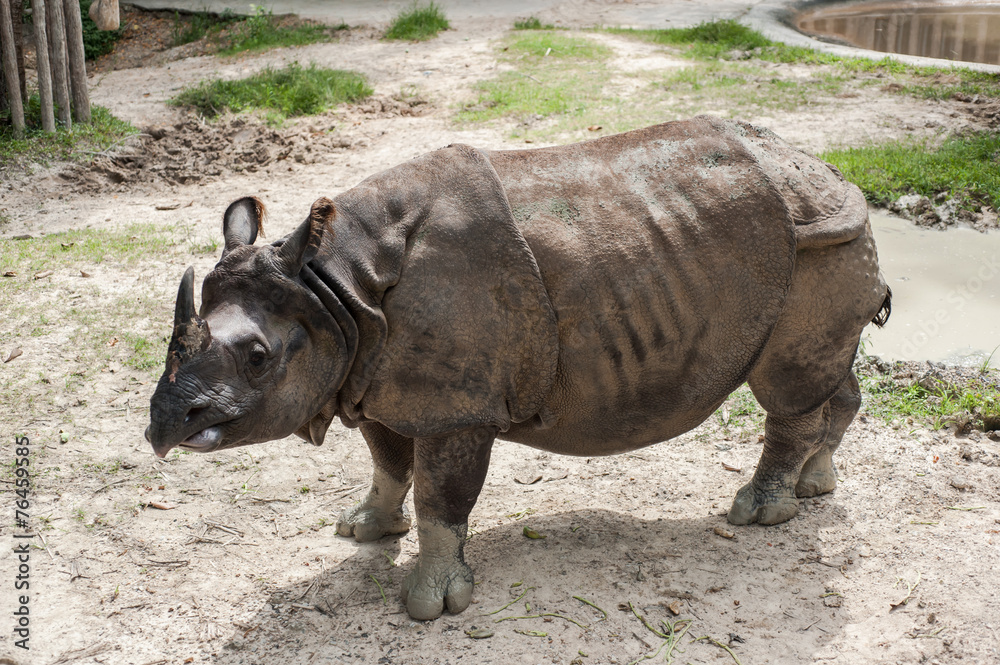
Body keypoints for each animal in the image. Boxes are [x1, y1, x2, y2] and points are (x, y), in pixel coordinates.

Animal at [146, 116, 890, 620]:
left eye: (257, 357)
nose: (162, 427)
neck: (334, 290)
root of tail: (831, 171)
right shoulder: (372, 377)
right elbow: (388, 462)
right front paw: (363, 530)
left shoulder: (456, 405)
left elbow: (440, 496)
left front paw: (429, 605)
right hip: (826, 240)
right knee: (827, 375)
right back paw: (816, 486)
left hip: (814, 241)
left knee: (785, 388)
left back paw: (760, 513)